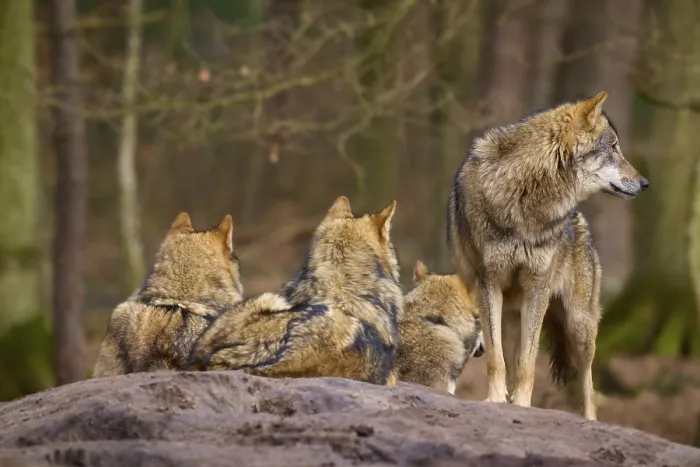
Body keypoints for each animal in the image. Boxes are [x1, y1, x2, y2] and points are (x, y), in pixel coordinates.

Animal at [447, 91, 648, 420]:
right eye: (613, 148)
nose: (645, 183)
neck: (526, 197)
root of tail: (580, 219)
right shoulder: (488, 283)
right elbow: (496, 359)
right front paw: (495, 399)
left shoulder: (537, 288)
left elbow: (528, 363)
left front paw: (522, 405)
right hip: (513, 316)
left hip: (580, 326)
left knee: (588, 383)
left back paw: (589, 419)